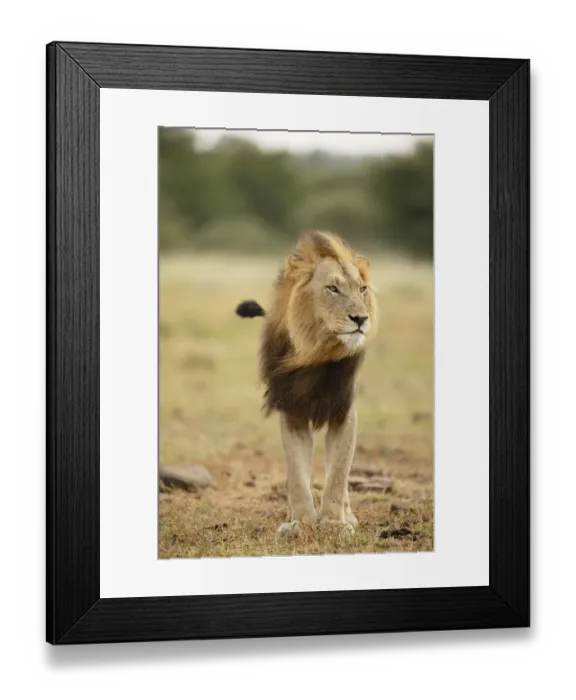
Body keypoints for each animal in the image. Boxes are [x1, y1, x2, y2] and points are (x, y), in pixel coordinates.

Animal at [236, 230, 378, 537]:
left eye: (362, 289)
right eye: (332, 289)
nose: (361, 318)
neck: (316, 353)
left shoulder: (343, 410)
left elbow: (338, 473)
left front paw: (335, 524)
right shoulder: (291, 411)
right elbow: (297, 474)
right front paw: (300, 523)